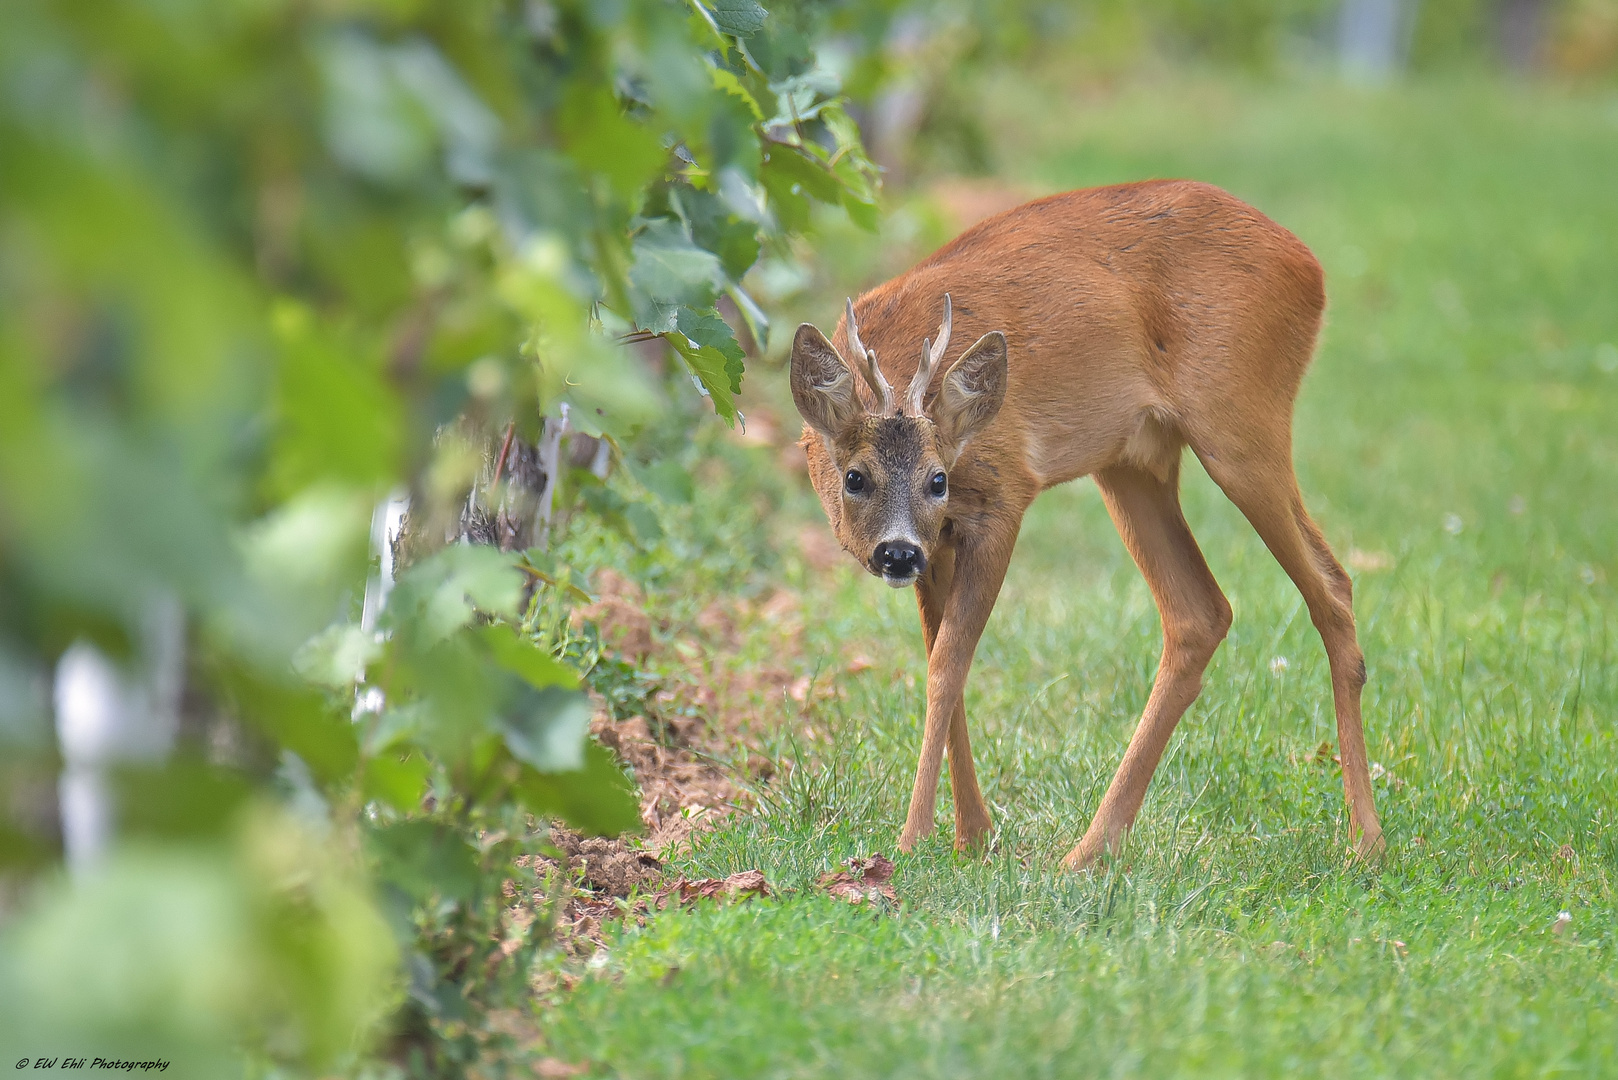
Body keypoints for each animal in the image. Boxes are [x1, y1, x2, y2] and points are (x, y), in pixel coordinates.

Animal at [789, 177, 1385, 867]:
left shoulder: (1003, 497)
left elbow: (945, 668)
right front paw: (974, 836)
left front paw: (914, 841)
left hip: (1241, 421)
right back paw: (1091, 850)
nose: (896, 555)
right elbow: (945, 661)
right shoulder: (941, 542)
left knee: (1332, 585)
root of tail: (1309, 265)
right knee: (1200, 612)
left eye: (938, 479)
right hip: (1132, 462)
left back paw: (1367, 840)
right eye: (854, 477)